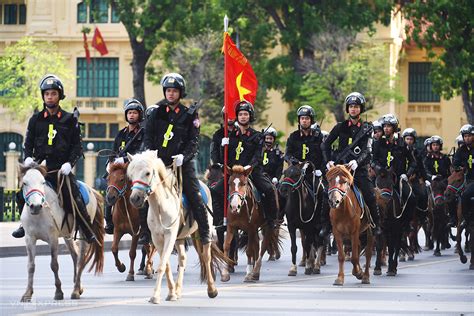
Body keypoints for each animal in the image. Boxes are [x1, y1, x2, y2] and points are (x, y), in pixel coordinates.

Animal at [19, 164, 104, 302]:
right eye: (25, 183)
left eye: (43, 182)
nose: (35, 206)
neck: (40, 213)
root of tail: (90, 189)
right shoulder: (29, 238)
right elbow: (30, 266)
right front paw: (27, 293)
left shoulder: (52, 238)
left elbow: (54, 264)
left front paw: (58, 292)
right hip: (66, 235)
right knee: (75, 256)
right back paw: (78, 287)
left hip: (83, 232)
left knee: (81, 259)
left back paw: (75, 291)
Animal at [126, 152, 230, 304]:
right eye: (131, 174)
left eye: (148, 173)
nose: (135, 199)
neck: (160, 207)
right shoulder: (157, 238)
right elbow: (166, 265)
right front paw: (171, 293)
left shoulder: (170, 235)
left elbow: (162, 265)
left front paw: (155, 296)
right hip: (180, 238)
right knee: (182, 259)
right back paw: (178, 290)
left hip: (205, 231)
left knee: (206, 256)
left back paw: (211, 289)